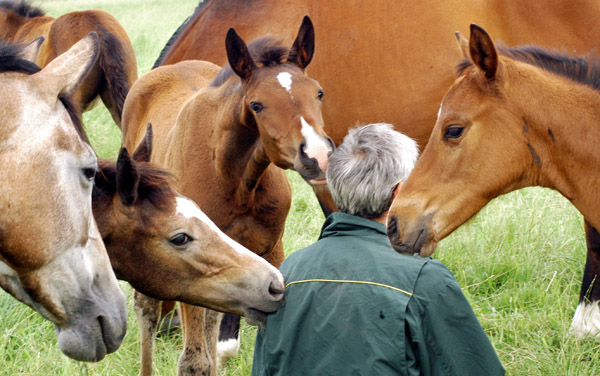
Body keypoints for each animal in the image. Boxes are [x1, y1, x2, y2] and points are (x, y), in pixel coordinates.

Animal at [119, 16, 330, 376]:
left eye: (318, 92)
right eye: (257, 105)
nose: (317, 156)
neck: (236, 181)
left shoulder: (270, 249)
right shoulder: (188, 264)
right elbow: (195, 361)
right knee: (147, 307)